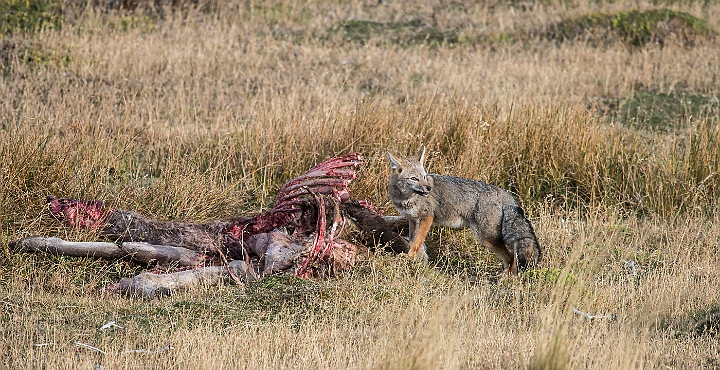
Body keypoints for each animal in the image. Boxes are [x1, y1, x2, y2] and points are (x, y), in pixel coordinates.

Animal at [388, 146, 540, 274]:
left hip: (486, 238)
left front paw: (409, 258)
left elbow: (416, 243)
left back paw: (506, 280)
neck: (407, 199)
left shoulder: (427, 218)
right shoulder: (413, 220)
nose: (429, 188)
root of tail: (502, 192)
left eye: (424, 177)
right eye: (414, 178)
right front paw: (417, 259)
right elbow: (413, 241)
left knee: (511, 257)